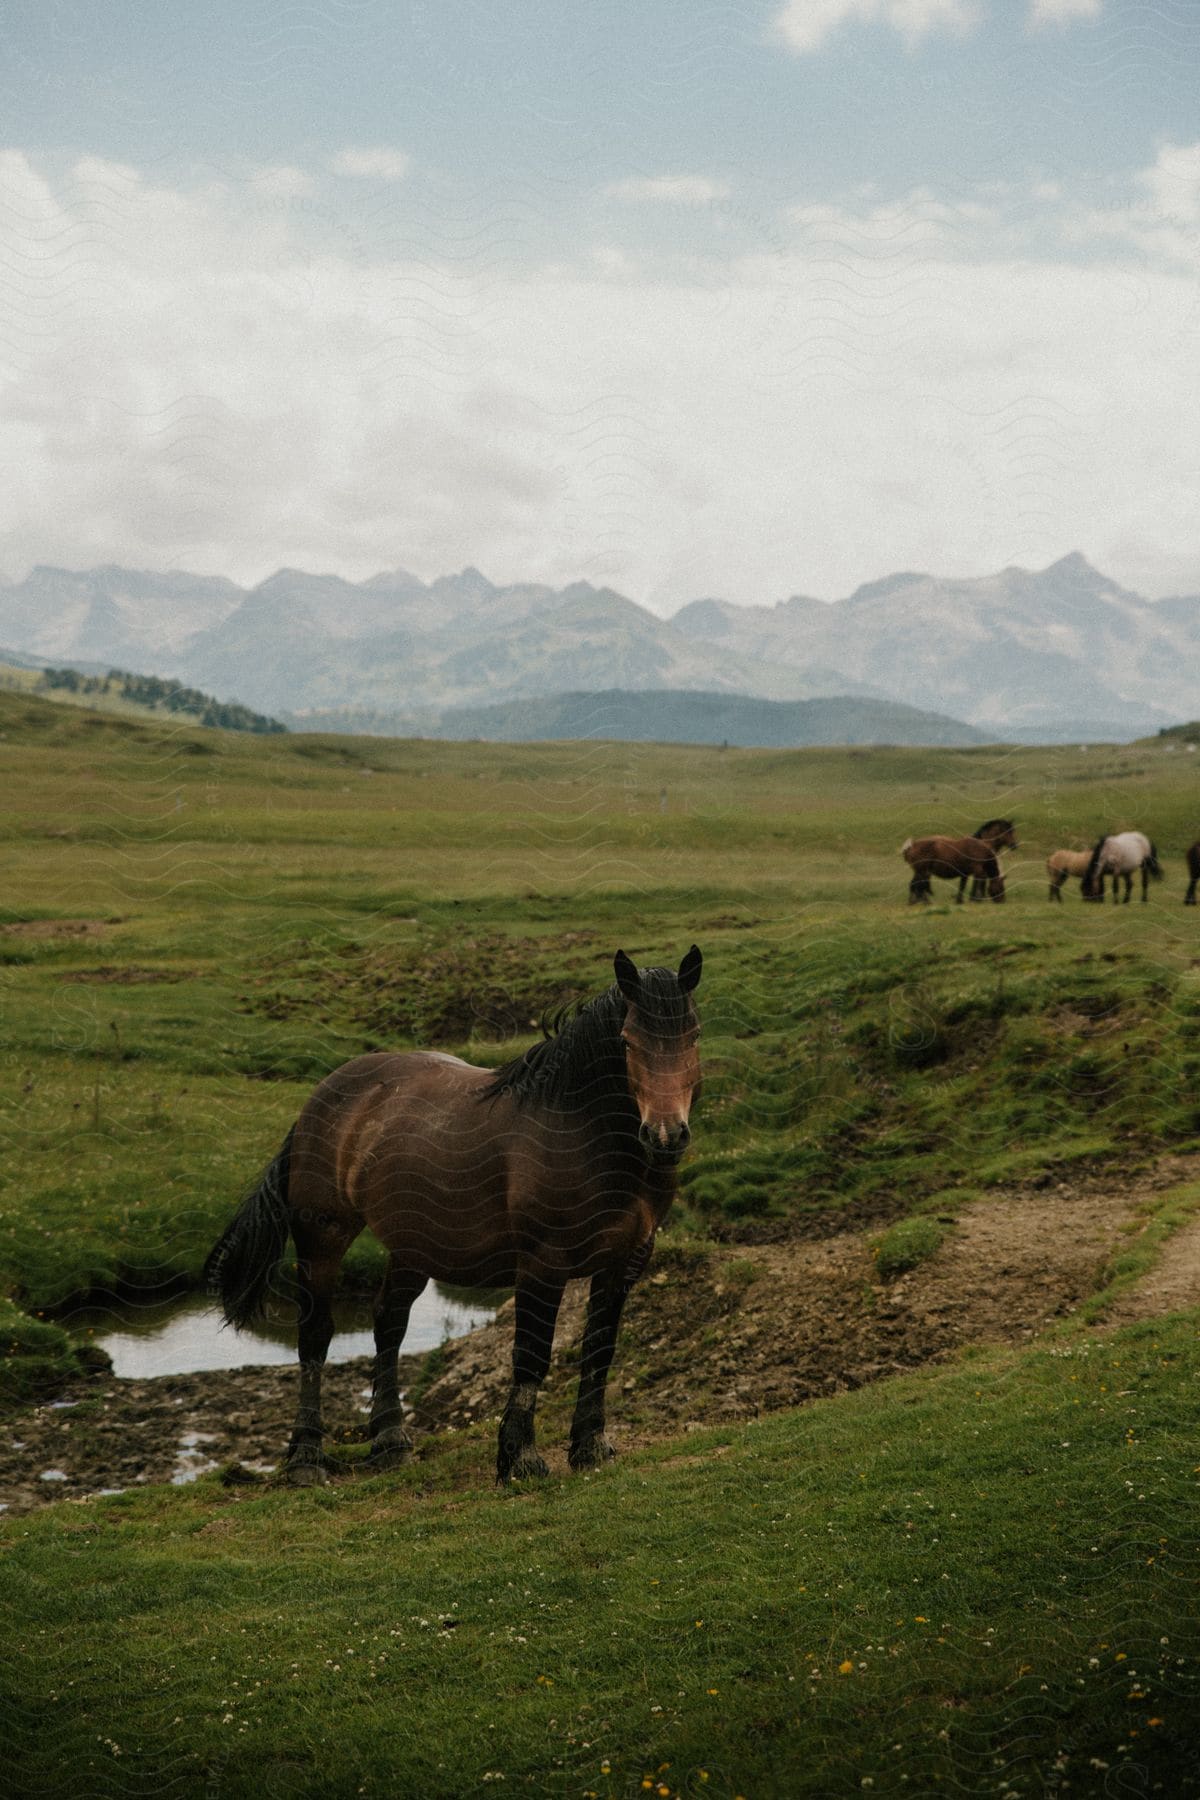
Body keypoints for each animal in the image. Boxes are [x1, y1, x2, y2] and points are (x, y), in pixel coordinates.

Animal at [206, 950, 705, 1483]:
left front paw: (590, 1445)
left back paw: (390, 1441)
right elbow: (531, 1357)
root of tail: (322, 1097)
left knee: (388, 1322)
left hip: (413, 1245)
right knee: (316, 1335)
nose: (665, 1135)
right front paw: (520, 1457)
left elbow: (599, 1351)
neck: (581, 1132)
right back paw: (305, 1457)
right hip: (323, 1239)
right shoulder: (542, 1265)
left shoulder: (625, 1261)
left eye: (693, 1035)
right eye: (628, 1041)